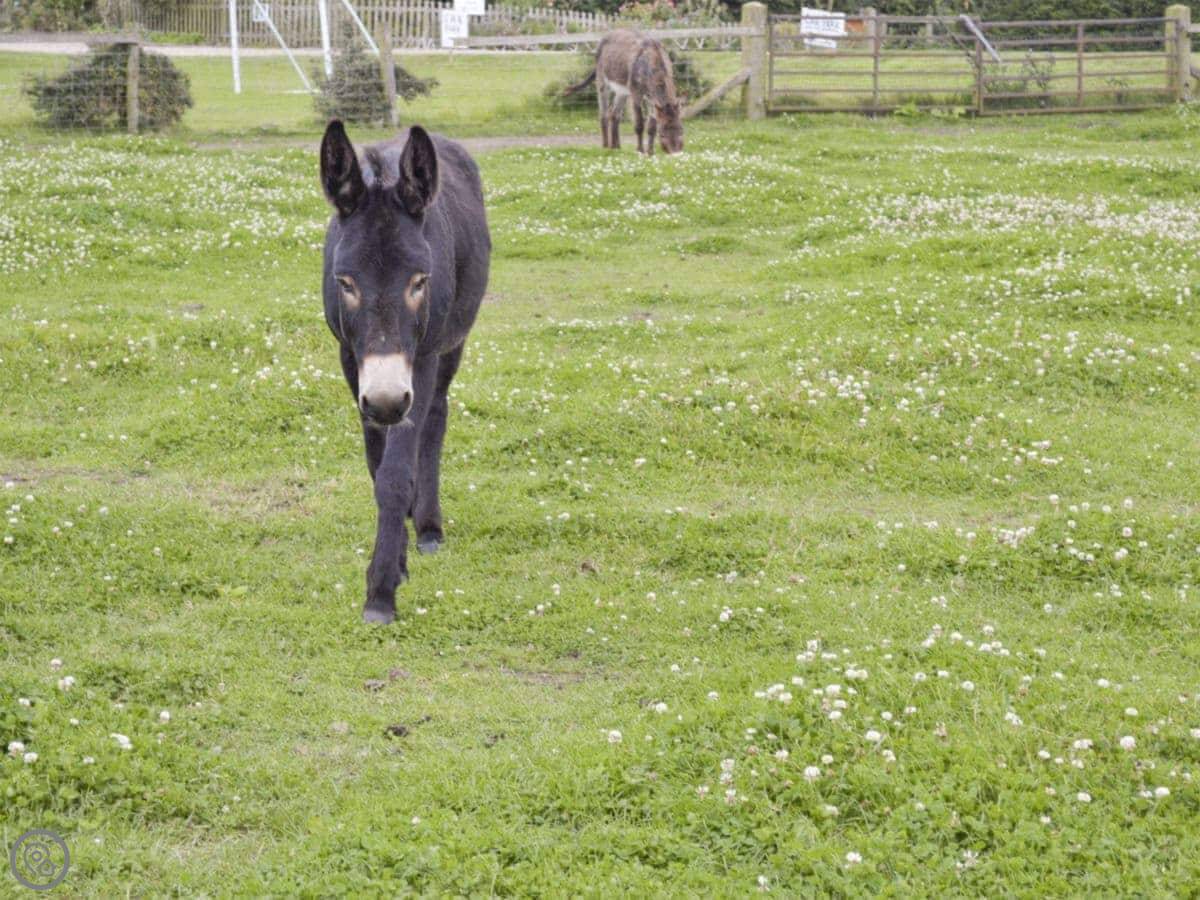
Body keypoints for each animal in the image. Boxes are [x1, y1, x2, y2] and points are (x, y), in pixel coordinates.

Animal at [319, 121, 491, 623]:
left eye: (420, 281)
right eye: (345, 282)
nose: (388, 401)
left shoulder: (424, 357)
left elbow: (398, 472)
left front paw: (381, 591)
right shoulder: (351, 360)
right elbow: (378, 469)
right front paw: (393, 564)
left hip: (449, 345)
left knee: (436, 418)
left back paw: (429, 525)